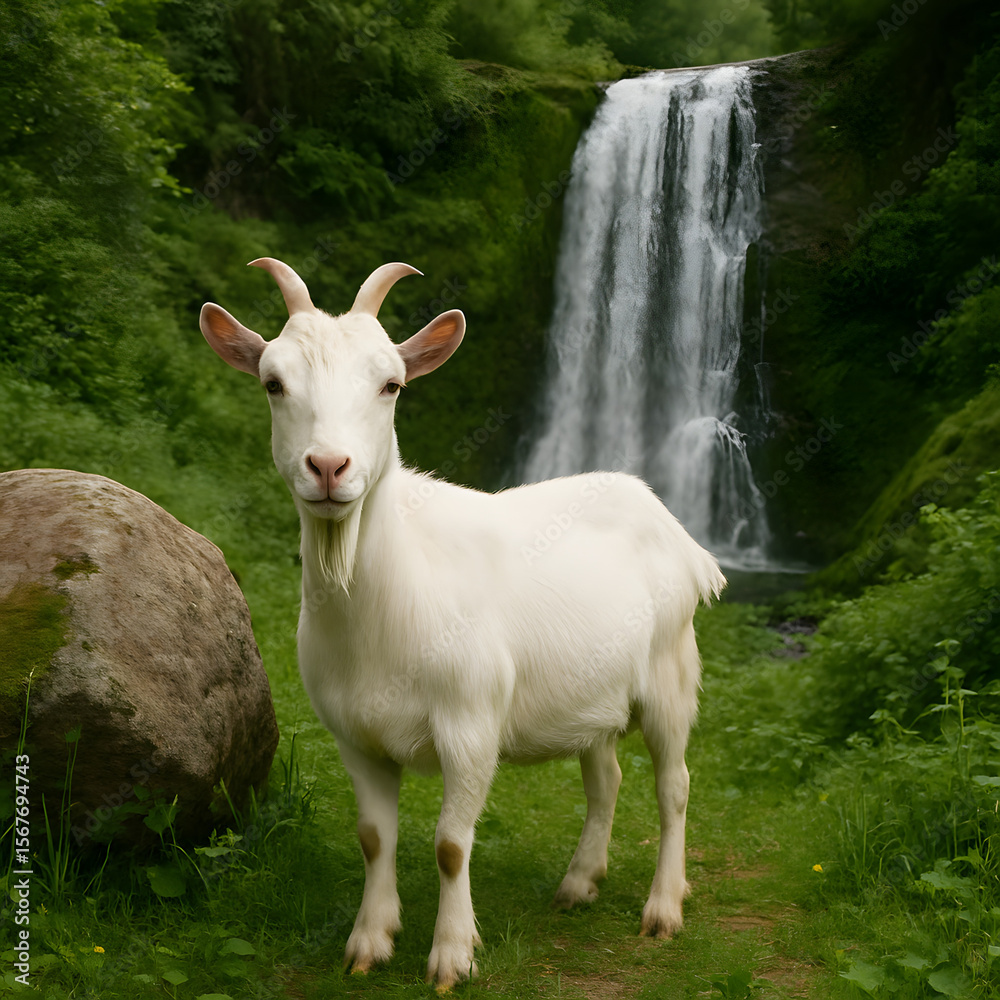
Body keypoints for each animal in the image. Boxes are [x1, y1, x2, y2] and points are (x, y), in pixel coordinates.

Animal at [200, 258, 725, 990]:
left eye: (390, 384)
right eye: (273, 383)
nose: (329, 467)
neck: (384, 606)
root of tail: (669, 522)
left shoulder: (471, 724)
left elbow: (451, 845)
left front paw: (451, 955)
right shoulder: (354, 737)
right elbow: (374, 839)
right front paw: (369, 941)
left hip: (671, 672)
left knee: (673, 785)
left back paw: (663, 908)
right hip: (594, 692)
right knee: (606, 779)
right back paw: (579, 883)